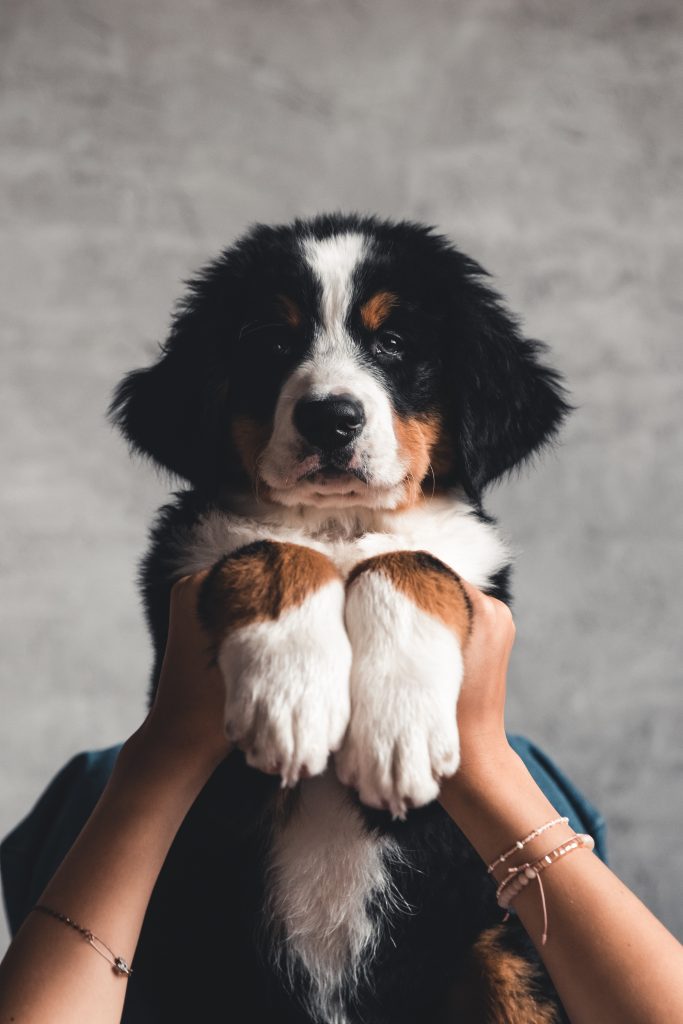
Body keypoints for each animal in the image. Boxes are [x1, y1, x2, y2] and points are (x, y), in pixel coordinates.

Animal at [111, 214, 573, 1024]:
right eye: (270, 342)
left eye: (393, 343)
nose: (331, 418)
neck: (340, 526)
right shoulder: (191, 573)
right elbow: (274, 547)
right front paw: (291, 705)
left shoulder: (467, 566)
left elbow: (412, 560)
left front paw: (397, 734)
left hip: (503, 951)